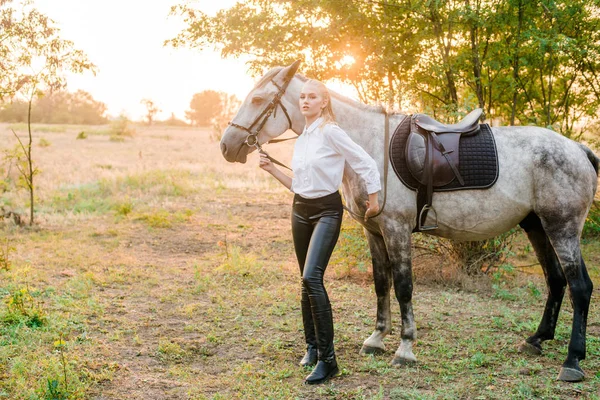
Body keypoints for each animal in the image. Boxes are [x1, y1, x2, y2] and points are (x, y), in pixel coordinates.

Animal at [219, 61, 596, 382]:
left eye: (257, 99)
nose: (227, 146)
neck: (367, 144)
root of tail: (578, 149)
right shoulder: (374, 231)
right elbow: (380, 283)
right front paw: (376, 338)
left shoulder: (396, 229)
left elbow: (403, 286)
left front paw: (405, 348)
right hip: (537, 226)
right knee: (555, 280)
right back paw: (536, 339)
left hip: (562, 228)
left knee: (579, 287)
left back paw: (572, 361)